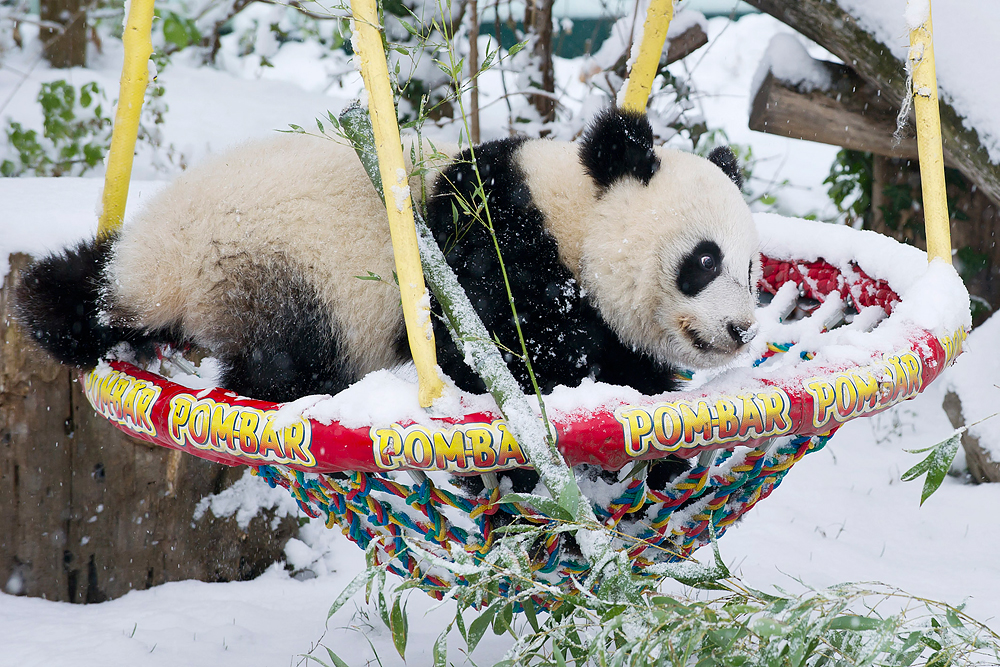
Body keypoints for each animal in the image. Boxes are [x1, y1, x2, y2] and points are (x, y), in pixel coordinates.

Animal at [13, 109, 756, 410]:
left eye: (751, 270)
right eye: (703, 261)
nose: (743, 329)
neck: (572, 207)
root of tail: (163, 268)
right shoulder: (494, 235)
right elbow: (503, 341)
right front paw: (585, 362)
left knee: (73, 285)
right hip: (287, 269)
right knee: (289, 361)